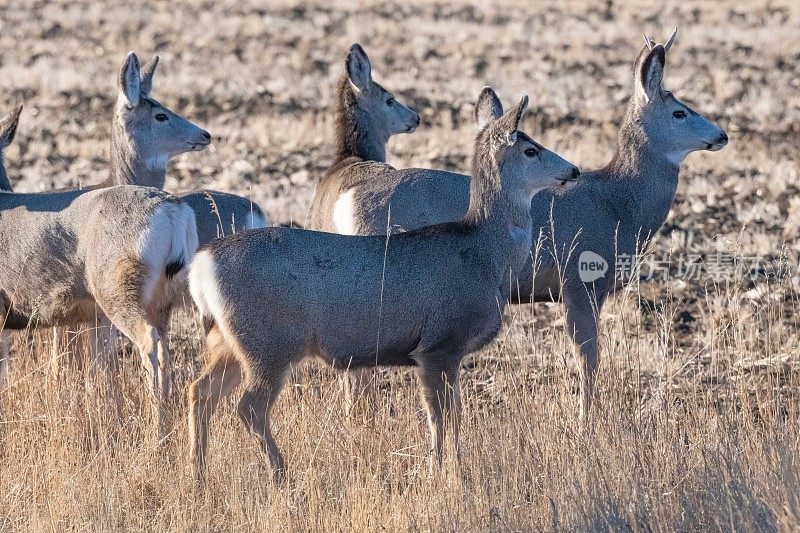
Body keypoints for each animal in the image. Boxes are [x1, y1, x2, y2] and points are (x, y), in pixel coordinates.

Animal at [188, 88, 580, 478]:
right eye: (531, 150)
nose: (574, 170)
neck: (486, 254)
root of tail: (200, 265)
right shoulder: (439, 343)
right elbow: (440, 417)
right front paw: (440, 471)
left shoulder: (445, 351)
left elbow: (453, 415)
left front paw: (452, 466)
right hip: (269, 342)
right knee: (248, 406)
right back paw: (280, 471)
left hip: (230, 339)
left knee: (199, 391)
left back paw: (198, 471)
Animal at [308, 30, 732, 420]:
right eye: (680, 112)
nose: (722, 135)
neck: (617, 204)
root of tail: (345, 200)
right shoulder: (581, 281)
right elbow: (589, 358)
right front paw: (587, 422)